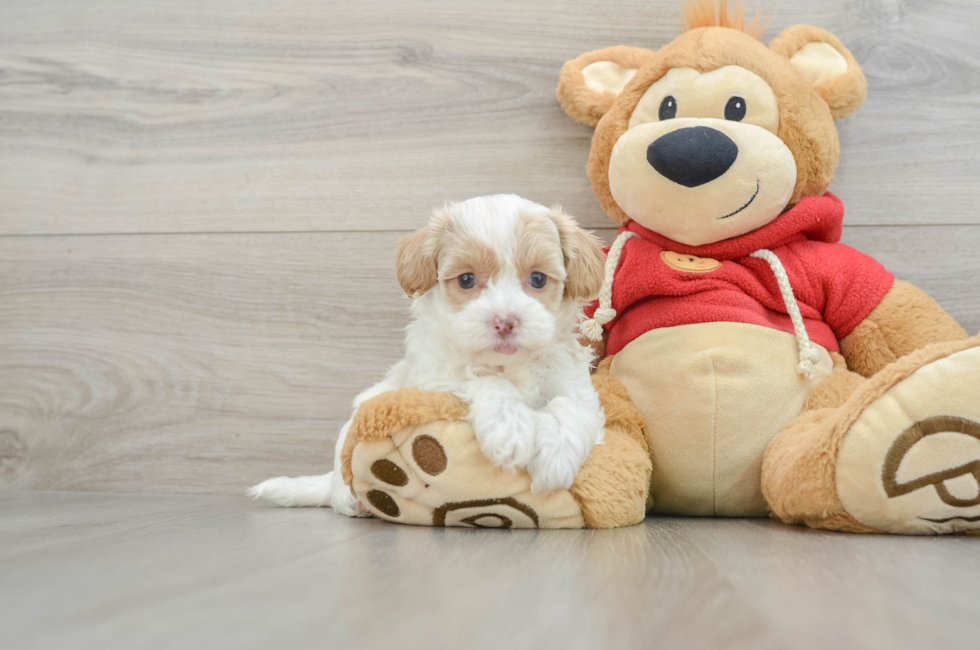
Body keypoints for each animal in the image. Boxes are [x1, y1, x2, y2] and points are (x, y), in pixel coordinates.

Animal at [247, 195, 604, 512]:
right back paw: (352, 500)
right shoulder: (433, 378)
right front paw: (510, 427)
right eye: (466, 279)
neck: (507, 365)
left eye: (538, 278)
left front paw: (556, 455)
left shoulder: (574, 382)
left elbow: (569, 405)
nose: (505, 321)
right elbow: (479, 379)